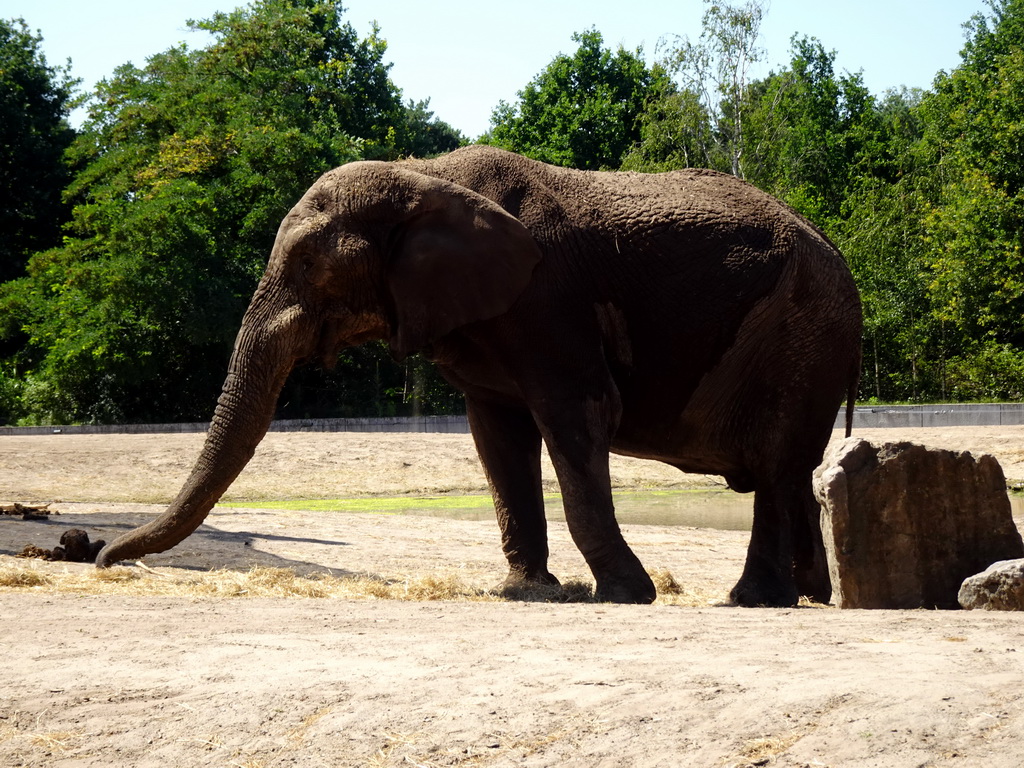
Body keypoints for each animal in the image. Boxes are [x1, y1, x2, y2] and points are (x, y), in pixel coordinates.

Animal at [97, 145, 864, 606]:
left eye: (310, 265)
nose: (102, 558)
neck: (422, 176)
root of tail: (840, 256)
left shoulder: (548, 303)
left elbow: (580, 415)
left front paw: (625, 595)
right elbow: (497, 437)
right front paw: (526, 593)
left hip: (800, 329)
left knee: (773, 464)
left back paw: (753, 599)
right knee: (790, 468)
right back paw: (809, 597)